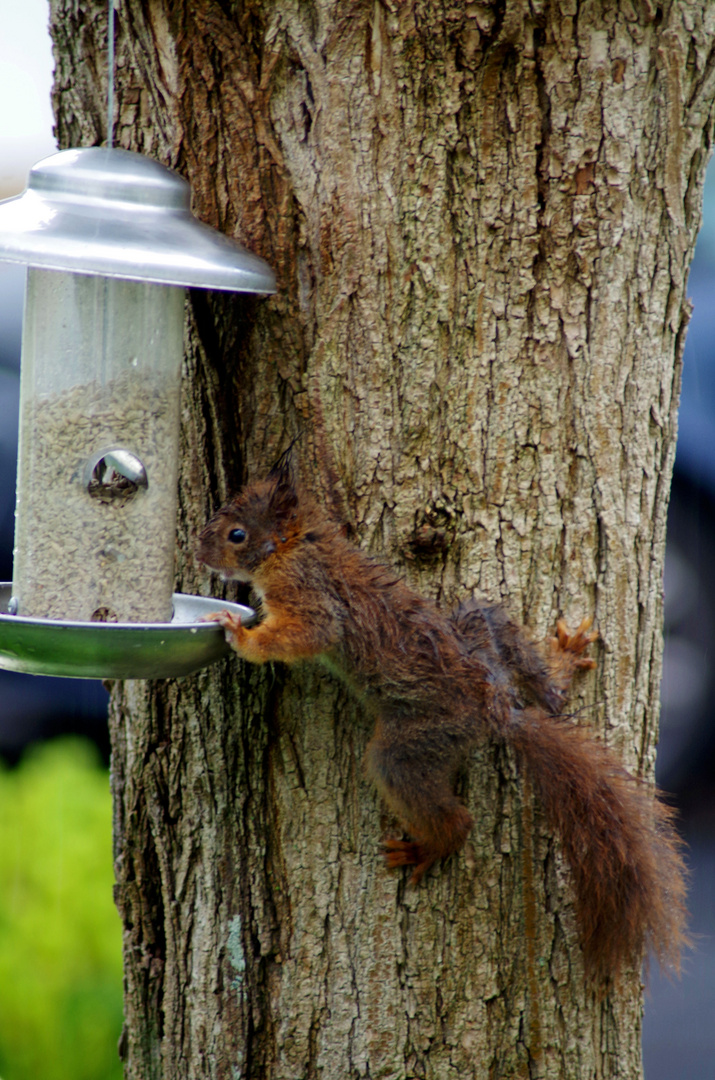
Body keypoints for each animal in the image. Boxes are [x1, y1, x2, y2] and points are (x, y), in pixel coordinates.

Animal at [196, 455, 691, 980]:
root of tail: (497, 709)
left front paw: (236, 633)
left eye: (236, 535)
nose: (197, 550)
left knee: (450, 813)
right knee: (532, 673)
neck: (297, 544)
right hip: (481, 624)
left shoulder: (308, 593)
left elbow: (306, 634)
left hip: (415, 743)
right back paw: (562, 665)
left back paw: (430, 845)